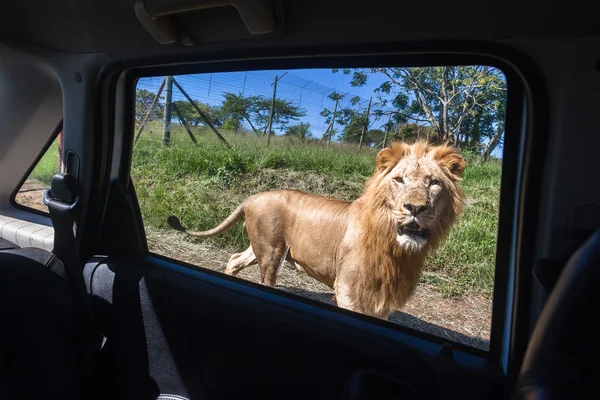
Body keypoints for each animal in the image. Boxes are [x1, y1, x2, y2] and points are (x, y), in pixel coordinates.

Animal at [166, 141, 466, 318]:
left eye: (434, 183)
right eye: (400, 180)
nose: (415, 207)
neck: (395, 248)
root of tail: (253, 197)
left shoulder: (383, 300)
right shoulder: (348, 290)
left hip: (261, 246)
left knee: (234, 259)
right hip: (271, 252)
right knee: (264, 279)